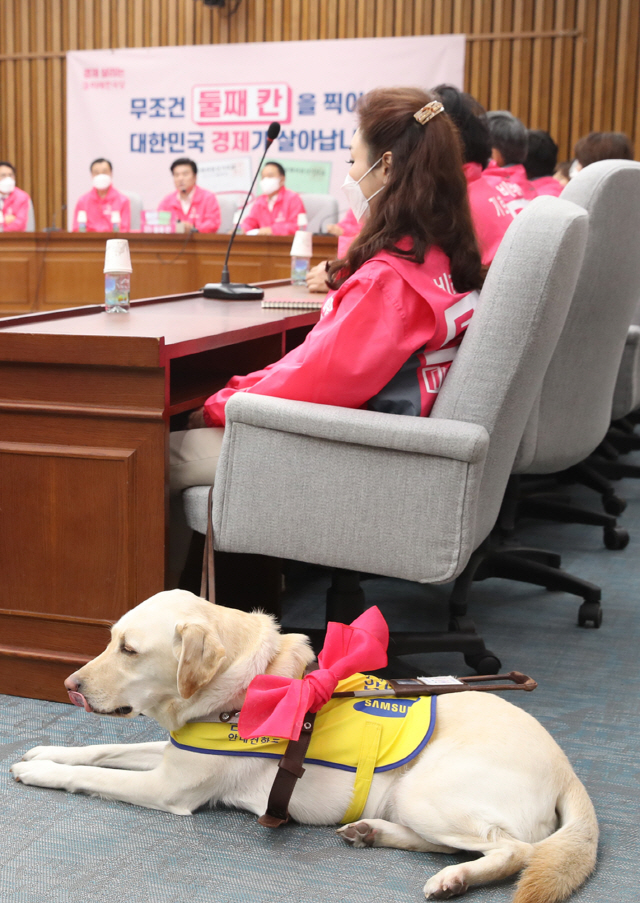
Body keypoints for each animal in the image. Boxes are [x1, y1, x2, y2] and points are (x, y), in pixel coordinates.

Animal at [11, 588, 600, 900]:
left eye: (129, 650)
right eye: (111, 639)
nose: (69, 685)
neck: (245, 686)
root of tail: (568, 771)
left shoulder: (167, 789)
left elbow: (93, 775)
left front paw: (40, 772)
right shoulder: (176, 755)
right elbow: (96, 754)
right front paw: (44, 752)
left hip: (429, 791)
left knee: (515, 851)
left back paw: (454, 879)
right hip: (410, 800)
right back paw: (371, 833)